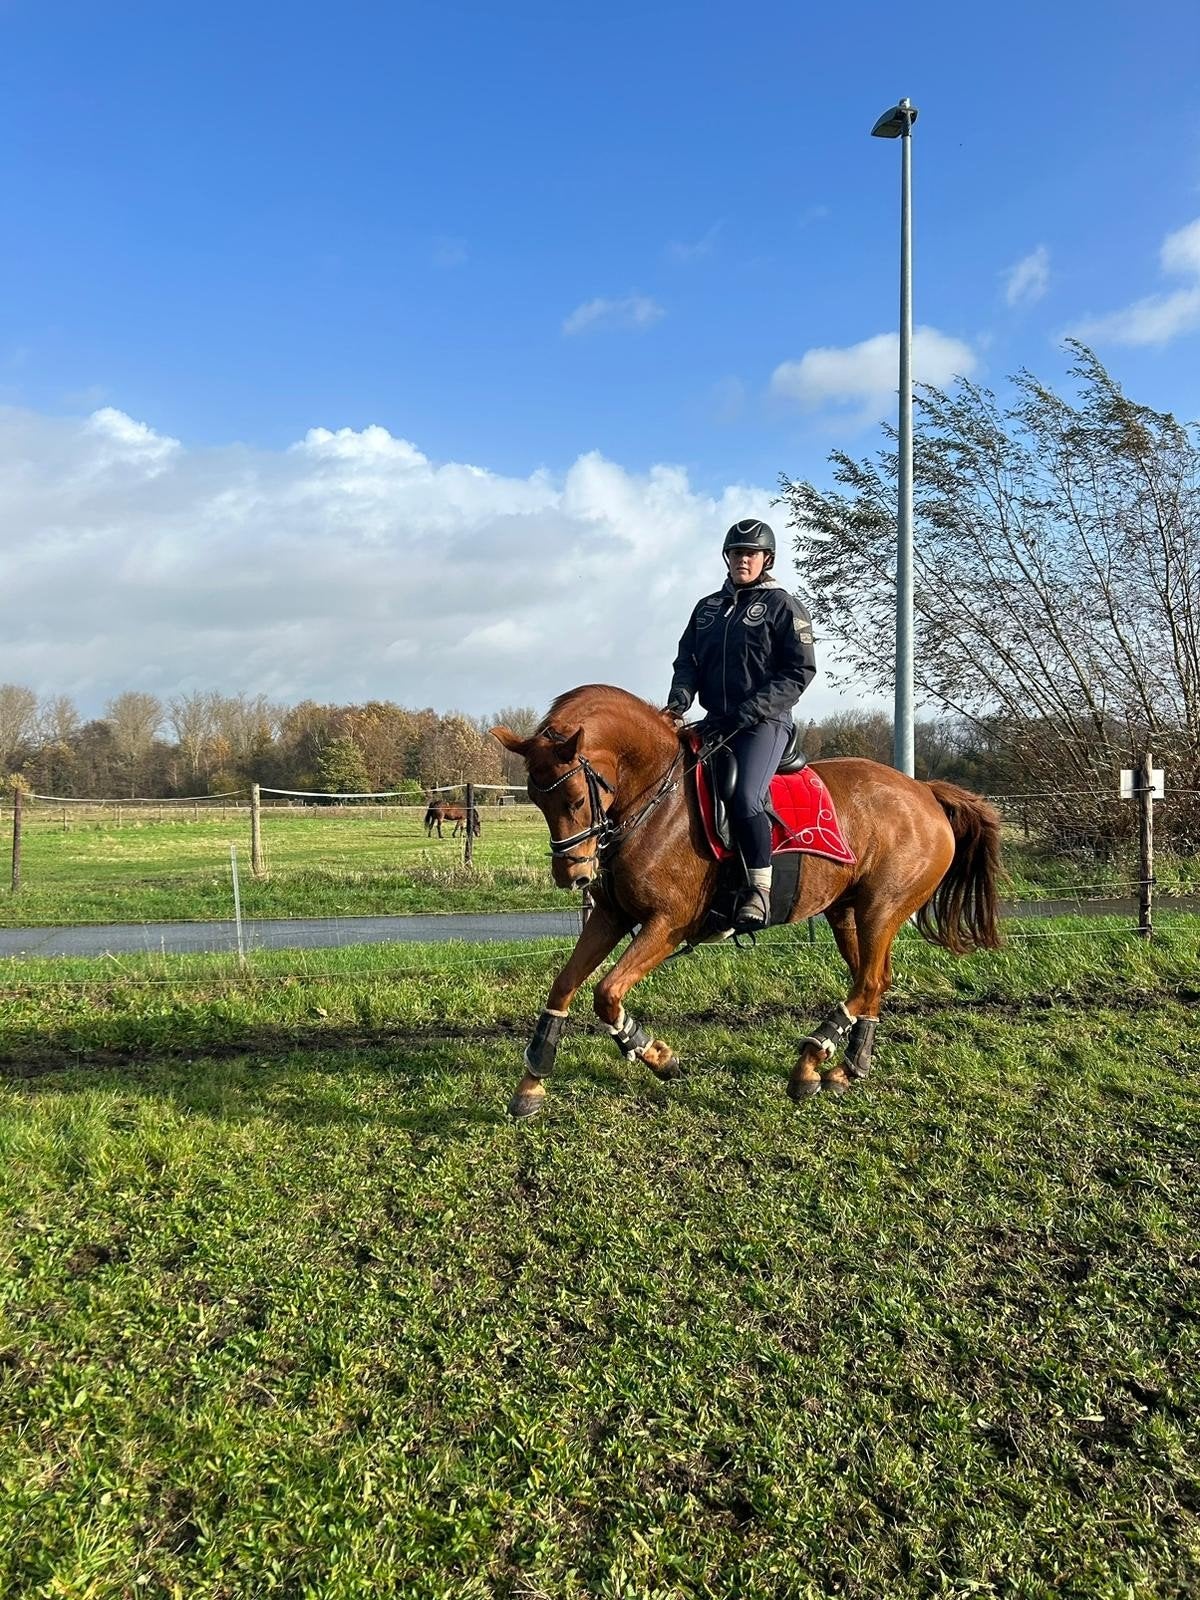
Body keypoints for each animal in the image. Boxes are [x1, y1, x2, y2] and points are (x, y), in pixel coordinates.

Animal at [492, 683, 1001, 1119]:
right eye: (535, 798)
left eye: (577, 798)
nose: (572, 874)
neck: (657, 801)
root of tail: (925, 792)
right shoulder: (611, 916)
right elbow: (564, 986)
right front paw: (533, 1079)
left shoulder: (668, 924)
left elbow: (606, 993)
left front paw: (654, 1053)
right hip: (846, 912)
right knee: (873, 981)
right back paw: (846, 1068)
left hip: (881, 909)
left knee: (871, 982)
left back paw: (812, 1060)